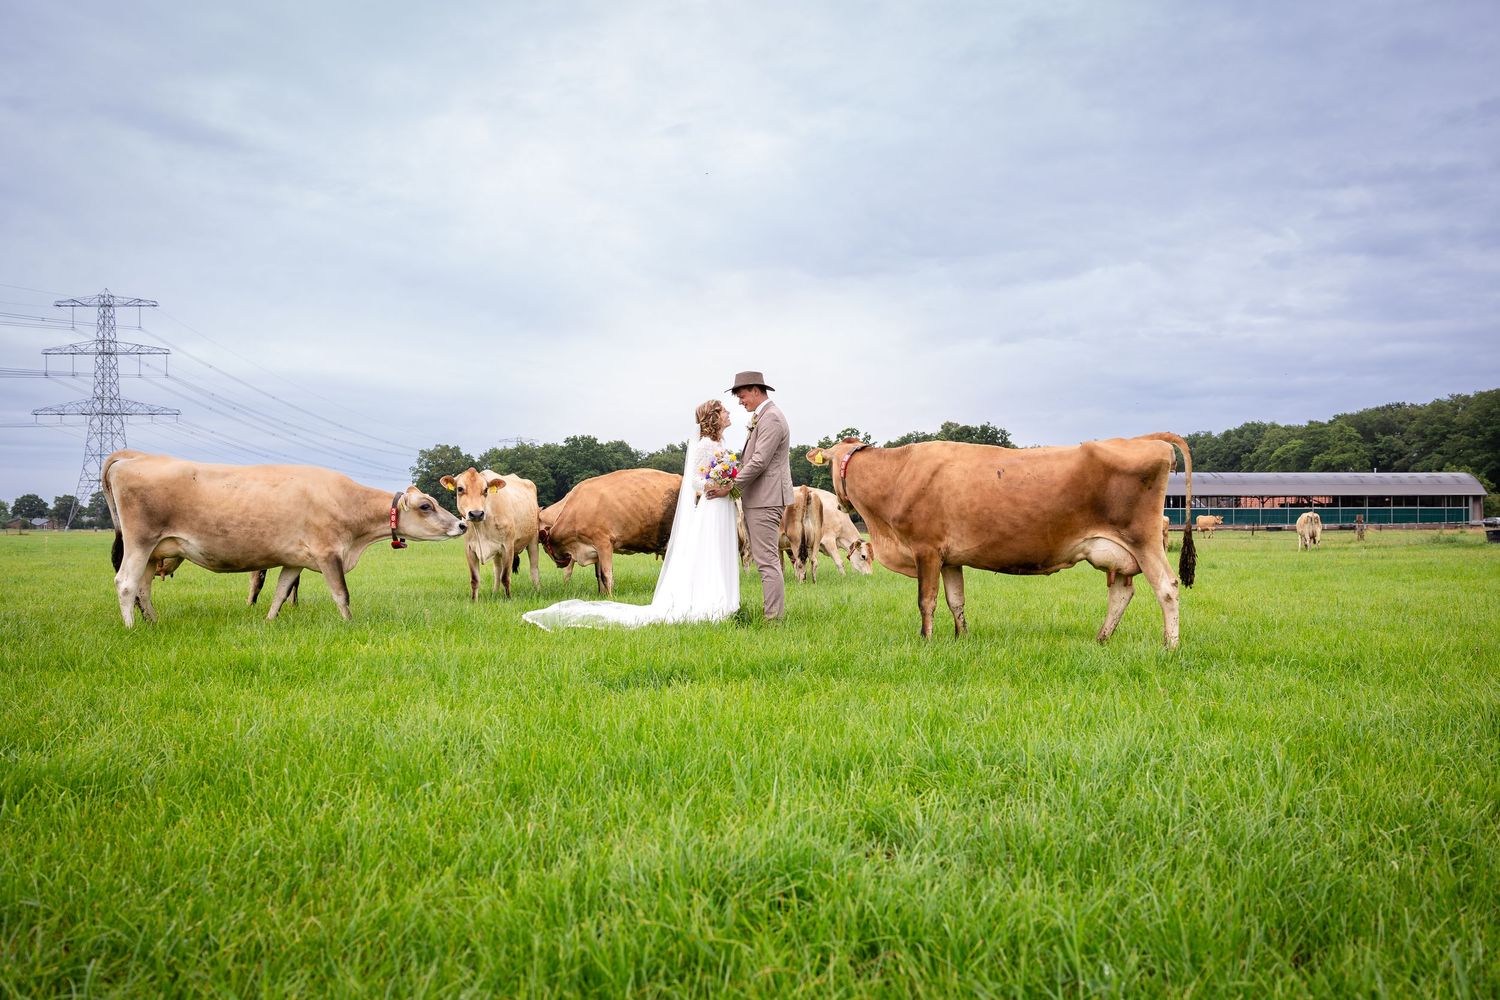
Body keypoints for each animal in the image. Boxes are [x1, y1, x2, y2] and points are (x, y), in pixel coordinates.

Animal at [101, 450, 466, 626]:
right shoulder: (328, 553)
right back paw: (131, 628)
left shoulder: (294, 561)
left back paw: (152, 621)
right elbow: (341, 595)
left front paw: (268, 621)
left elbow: (280, 593)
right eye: (426, 506)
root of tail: (133, 457)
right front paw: (350, 624)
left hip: (155, 551)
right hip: (140, 542)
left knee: (144, 588)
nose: (461, 524)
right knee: (125, 584)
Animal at [440, 467, 541, 598]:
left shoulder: (508, 546)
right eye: (460, 489)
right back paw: (494, 593)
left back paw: (537, 591)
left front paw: (509, 598)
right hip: (497, 553)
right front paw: (474, 600)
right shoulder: (469, 549)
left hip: (533, 540)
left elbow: (505, 577)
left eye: (485, 490)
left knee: (534, 569)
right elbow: (475, 579)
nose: (476, 514)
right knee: (497, 571)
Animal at [536, 468, 679, 595]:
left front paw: (610, 597)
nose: (559, 564)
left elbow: (606, 575)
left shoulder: (603, 543)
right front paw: (601, 595)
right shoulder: (594, 550)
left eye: (544, 546)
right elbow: (598, 575)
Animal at [806, 433, 1198, 648]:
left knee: (1167, 587)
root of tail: (1149, 440)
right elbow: (956, 601)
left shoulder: (926, 549)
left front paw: (926, 639)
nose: (839, 502)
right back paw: (1102, 639)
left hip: (1143, 540)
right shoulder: (950, 558)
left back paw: (1170, 646)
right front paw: (961, 638)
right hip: (1116, 552)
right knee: (1121, 593)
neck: (898, 474)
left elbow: (926, 601)